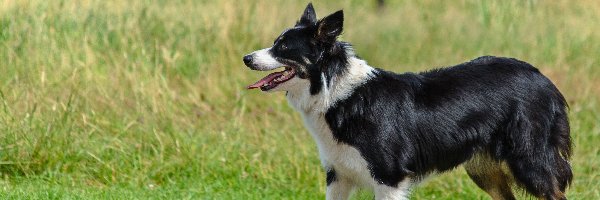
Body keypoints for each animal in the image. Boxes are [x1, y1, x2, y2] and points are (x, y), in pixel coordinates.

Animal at [243, 3, 572, 200]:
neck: (334, 92)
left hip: (530, 160)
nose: (246, 58)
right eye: (275, 43)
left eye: (283, 48)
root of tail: (541, 76)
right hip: (484, 168)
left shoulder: (389, 178)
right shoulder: (338, 176)